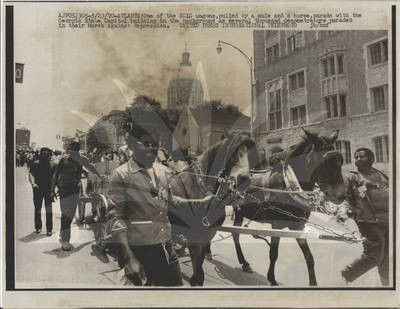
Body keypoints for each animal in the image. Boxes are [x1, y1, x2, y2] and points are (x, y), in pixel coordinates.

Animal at [166, 131, 258, 286]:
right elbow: (197, 266)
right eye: (232, 153)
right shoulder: (194, 236)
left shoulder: (209, 232)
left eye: (250, 155)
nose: (244, 180)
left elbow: (201, 260)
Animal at [230, 127, 346, 284]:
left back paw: (243, 263)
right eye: (323, 162)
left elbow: (309, 257)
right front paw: (272, 279)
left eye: (340, 160)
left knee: (235, 233)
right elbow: (273, 253)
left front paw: (313, 283)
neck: (289, 184)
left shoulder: (298, 225)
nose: (341, 195)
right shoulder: (277, 225)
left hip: (239, 212)